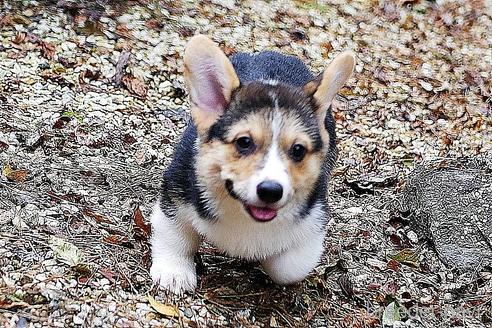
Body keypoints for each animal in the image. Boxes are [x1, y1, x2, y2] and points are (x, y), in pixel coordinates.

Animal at [150, 34, 354, 294]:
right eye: (244, 142)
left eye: (298, 150)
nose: (271, 191)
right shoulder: (175, 194)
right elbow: (175, 235)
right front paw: (174, 272)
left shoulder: (314, 218)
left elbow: (288, 267)